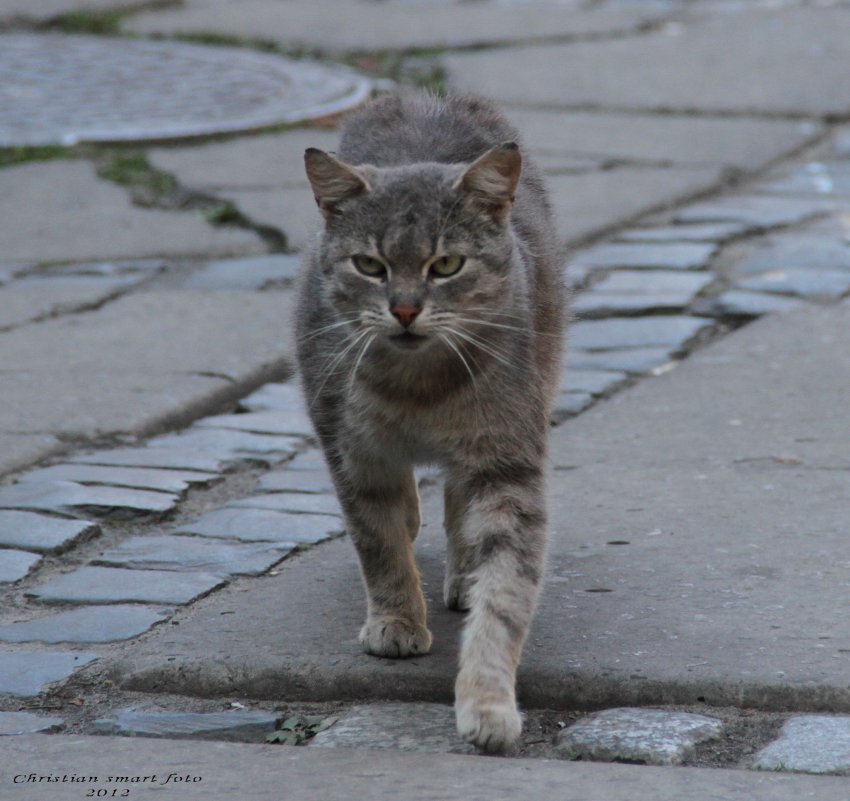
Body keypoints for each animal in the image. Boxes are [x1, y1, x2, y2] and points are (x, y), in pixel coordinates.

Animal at [294, 90, 560, 752]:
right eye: (370, 265)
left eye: (446, 265)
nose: (406, 309)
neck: (418, 392)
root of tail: (423, 96)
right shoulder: (354, 453)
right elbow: (379, 542)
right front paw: (396, 621)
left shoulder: (509, 460)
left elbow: (505, 591)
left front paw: (487, 701)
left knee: (459, 503)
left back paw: (462, 572)